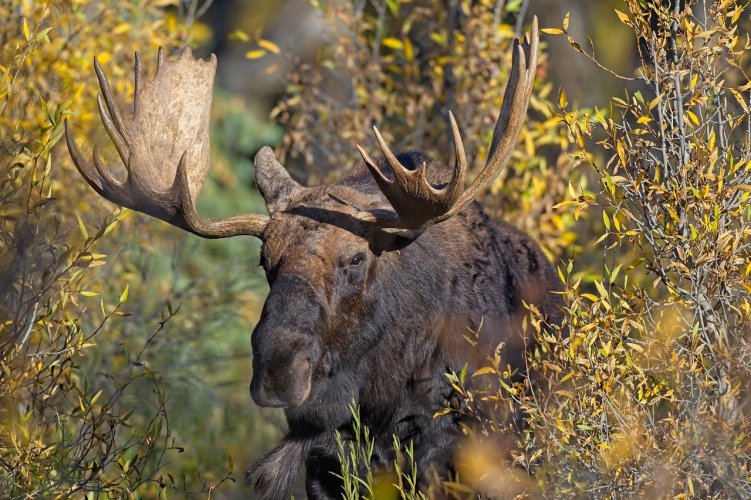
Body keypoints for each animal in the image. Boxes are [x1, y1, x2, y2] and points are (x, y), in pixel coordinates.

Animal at [66, 17, 564, 498]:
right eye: (265, 261)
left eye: (356, 259)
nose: (277, 370)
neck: (382, 394)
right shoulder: (326, 461)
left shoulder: (448, 451)